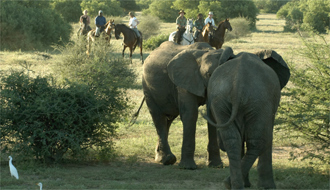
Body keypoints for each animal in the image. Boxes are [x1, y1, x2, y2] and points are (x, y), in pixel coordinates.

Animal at [202, 46, 290, 189]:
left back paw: (232, 184)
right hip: (258, 101)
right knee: (257, 142)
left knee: (232, 140)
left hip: (220, 99)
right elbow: (268, 134)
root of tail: (238, 82)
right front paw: (267, 186)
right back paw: (232, 183)